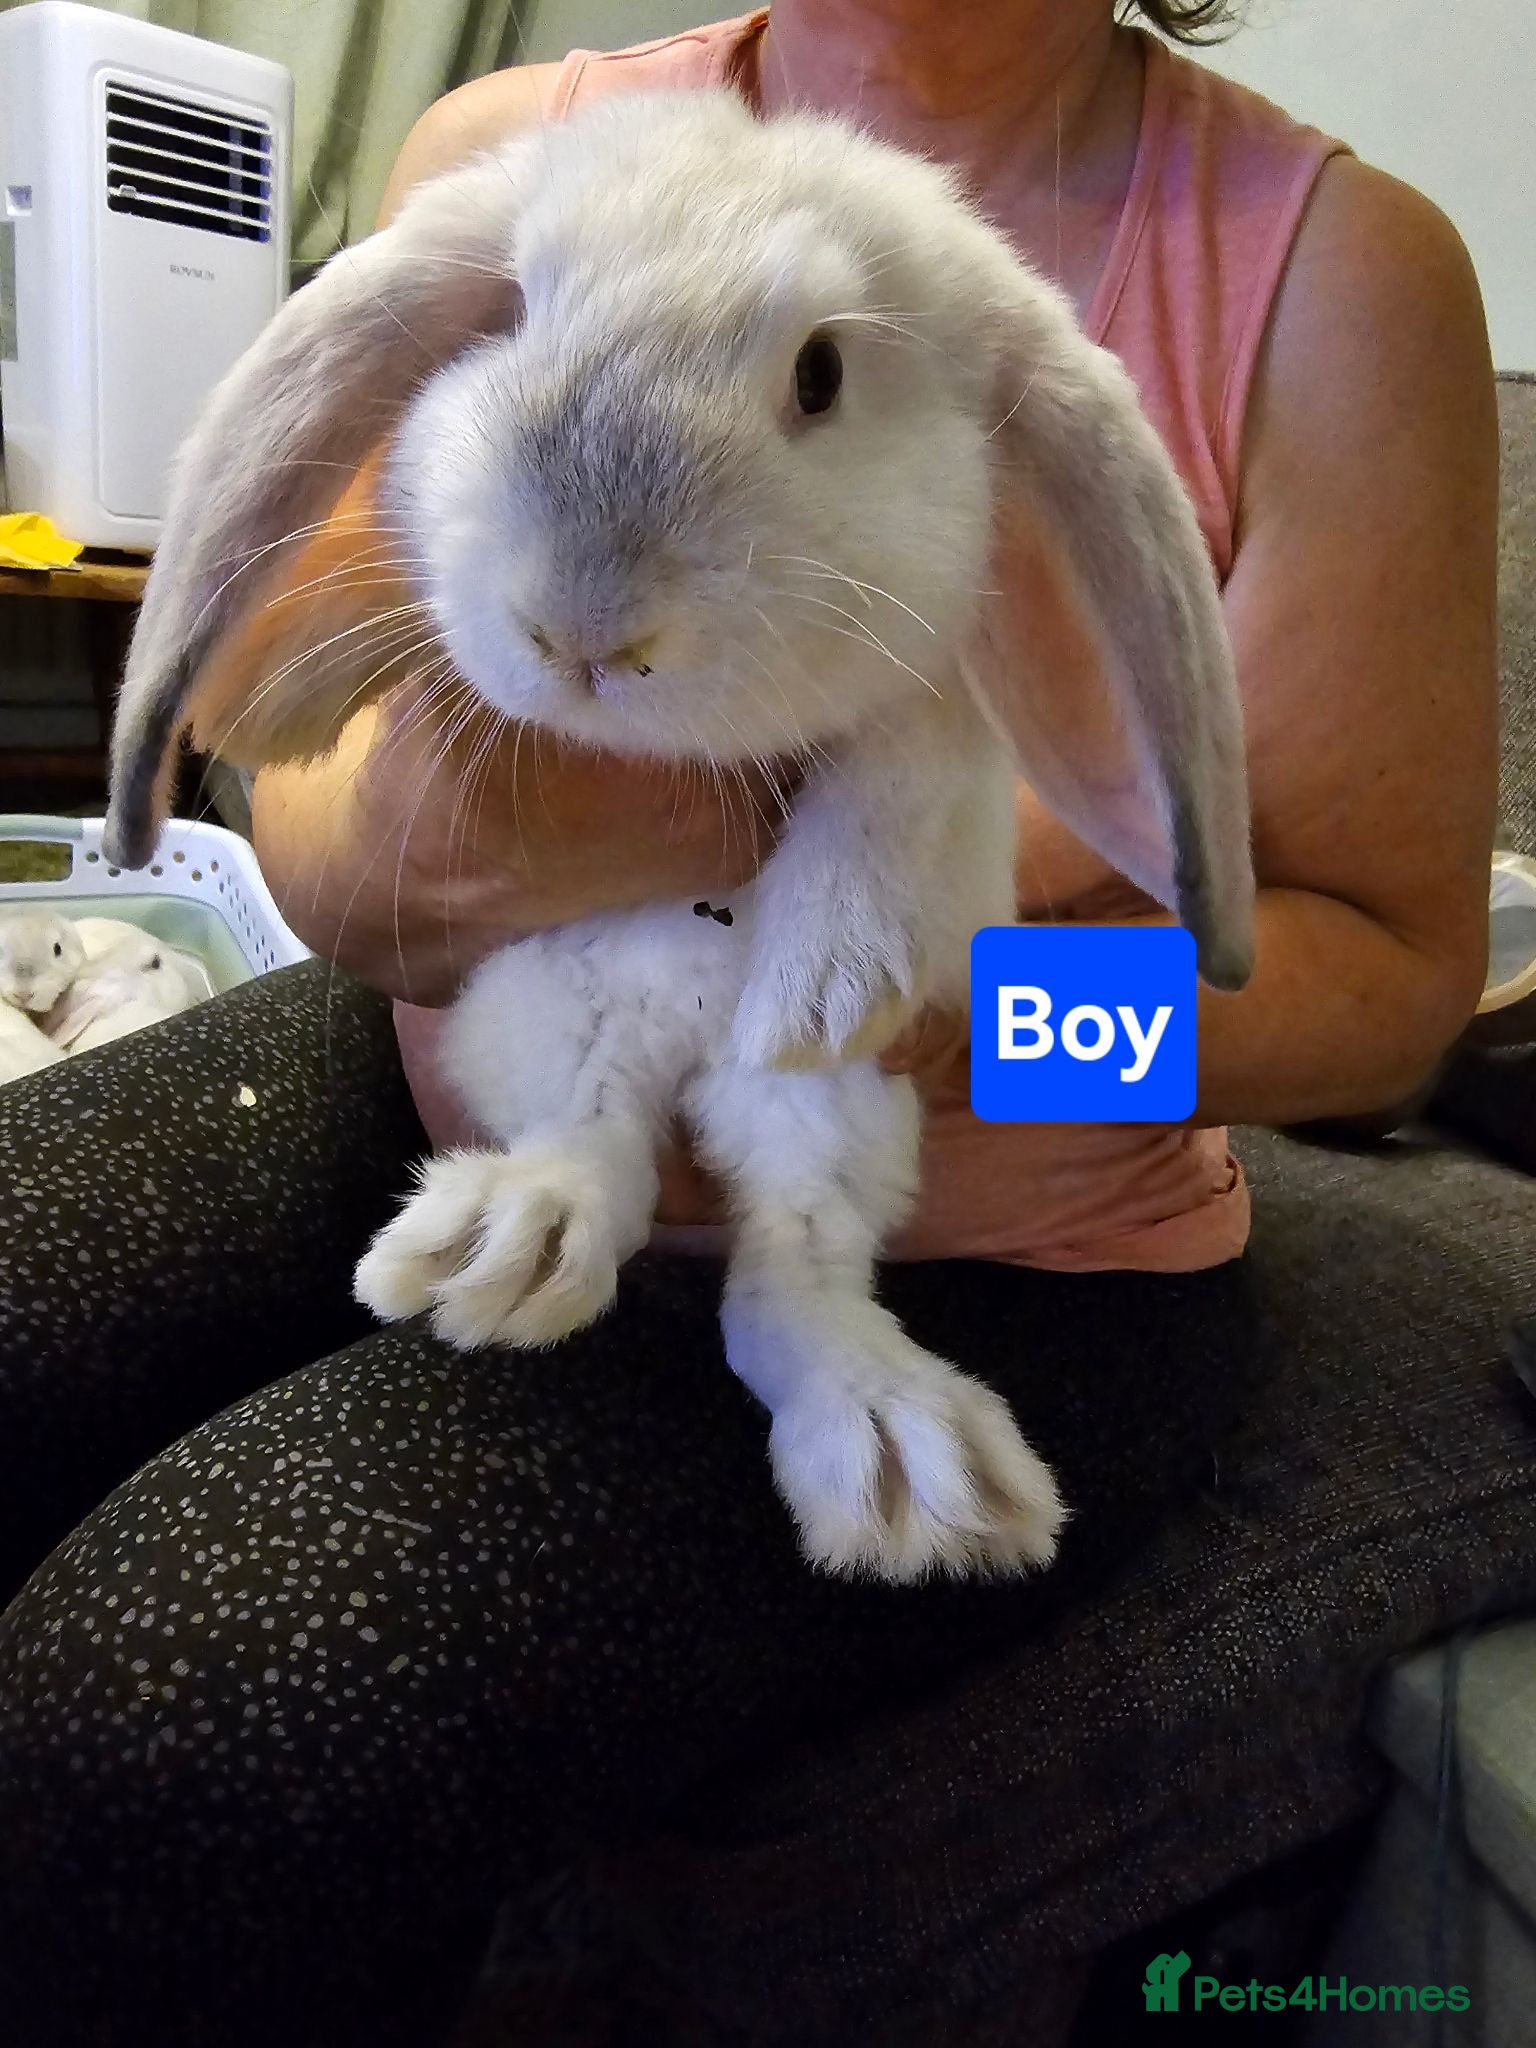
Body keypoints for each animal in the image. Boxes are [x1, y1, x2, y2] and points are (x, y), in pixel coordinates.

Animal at [102, 88, 1254, 1581]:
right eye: (509, 314)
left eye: (821, 373)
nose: (581, 629)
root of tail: (687, 1064)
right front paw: (282, 685)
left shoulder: (928, 688)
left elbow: (908, 752)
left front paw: (830, 980)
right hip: (549, 1007)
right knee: (596, 1147)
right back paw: (507, 1242)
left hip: (838, 1115)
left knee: (793, 1267)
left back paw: (910, 1466)